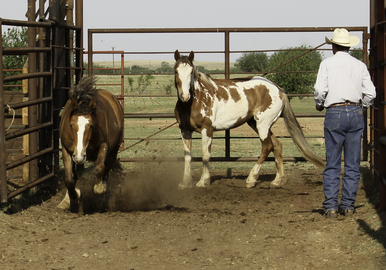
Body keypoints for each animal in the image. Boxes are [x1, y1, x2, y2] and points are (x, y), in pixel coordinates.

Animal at [57, 76, 123, 211]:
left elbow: (99, 169)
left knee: (106, 169)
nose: (79, 156)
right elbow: (69, 178)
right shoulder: (66, 150)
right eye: (71, 125)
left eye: (91, 125)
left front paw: (100, 189)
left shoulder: (103, 146)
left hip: (113, 151)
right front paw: (74, 196)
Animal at [173, 51, 324, 190]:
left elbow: (205, 155)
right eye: (176, 71)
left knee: (267, 147)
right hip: (257, 124)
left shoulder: (207, 129)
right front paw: (185, 183)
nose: (185, 96)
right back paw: (277, 181)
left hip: (263, 125)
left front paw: (203, 181)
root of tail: (278, 89)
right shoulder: (185, 131)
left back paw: (251, 179)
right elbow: (187, 156)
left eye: (191, 72)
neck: (195, 101)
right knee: (277, 145)